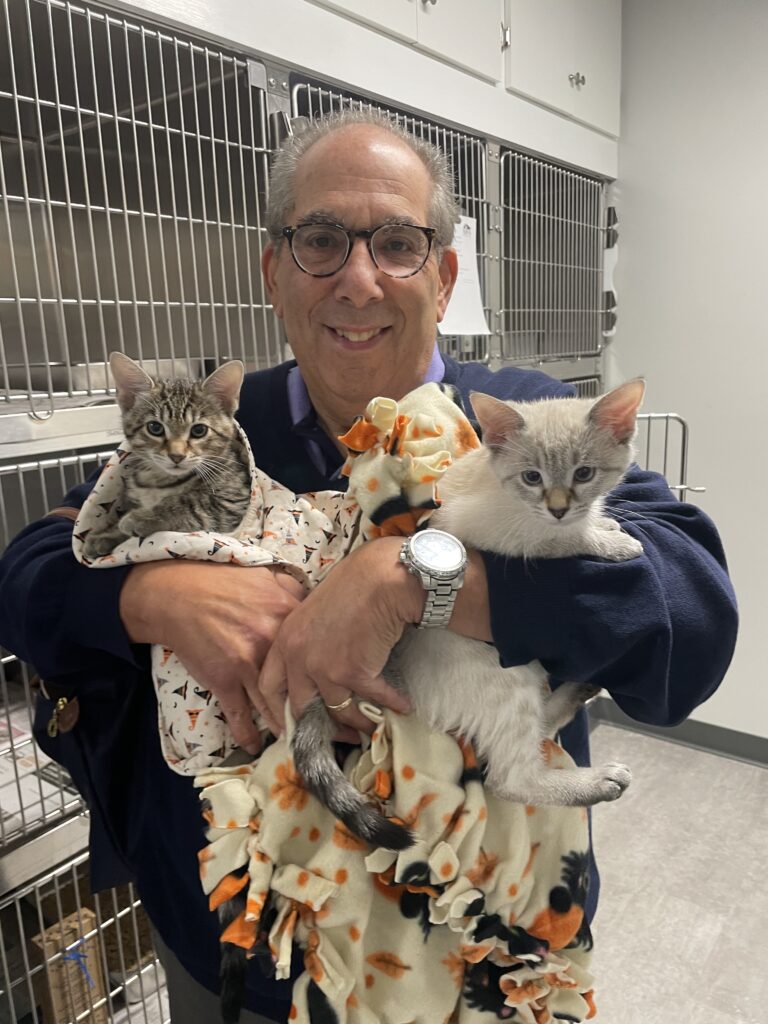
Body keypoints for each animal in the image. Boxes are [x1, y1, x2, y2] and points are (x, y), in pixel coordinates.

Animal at [83, 352, 252, 561]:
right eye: (155, 428)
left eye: (199, 430)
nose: (176, 455)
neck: (159, 481)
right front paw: (107, 534)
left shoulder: (234, 498)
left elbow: (190, 504)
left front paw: (142, 518)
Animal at [290, 376, 647, 847]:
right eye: (532, 477)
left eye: (584, 474)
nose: (558, 507)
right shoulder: (494, 533)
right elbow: (562, 540)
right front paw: (613, 542)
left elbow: (583, 522)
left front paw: (604, 522)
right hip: (506, 678)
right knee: (509, 777)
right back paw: (599, 780)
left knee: (535, 730)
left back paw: (579, 689)